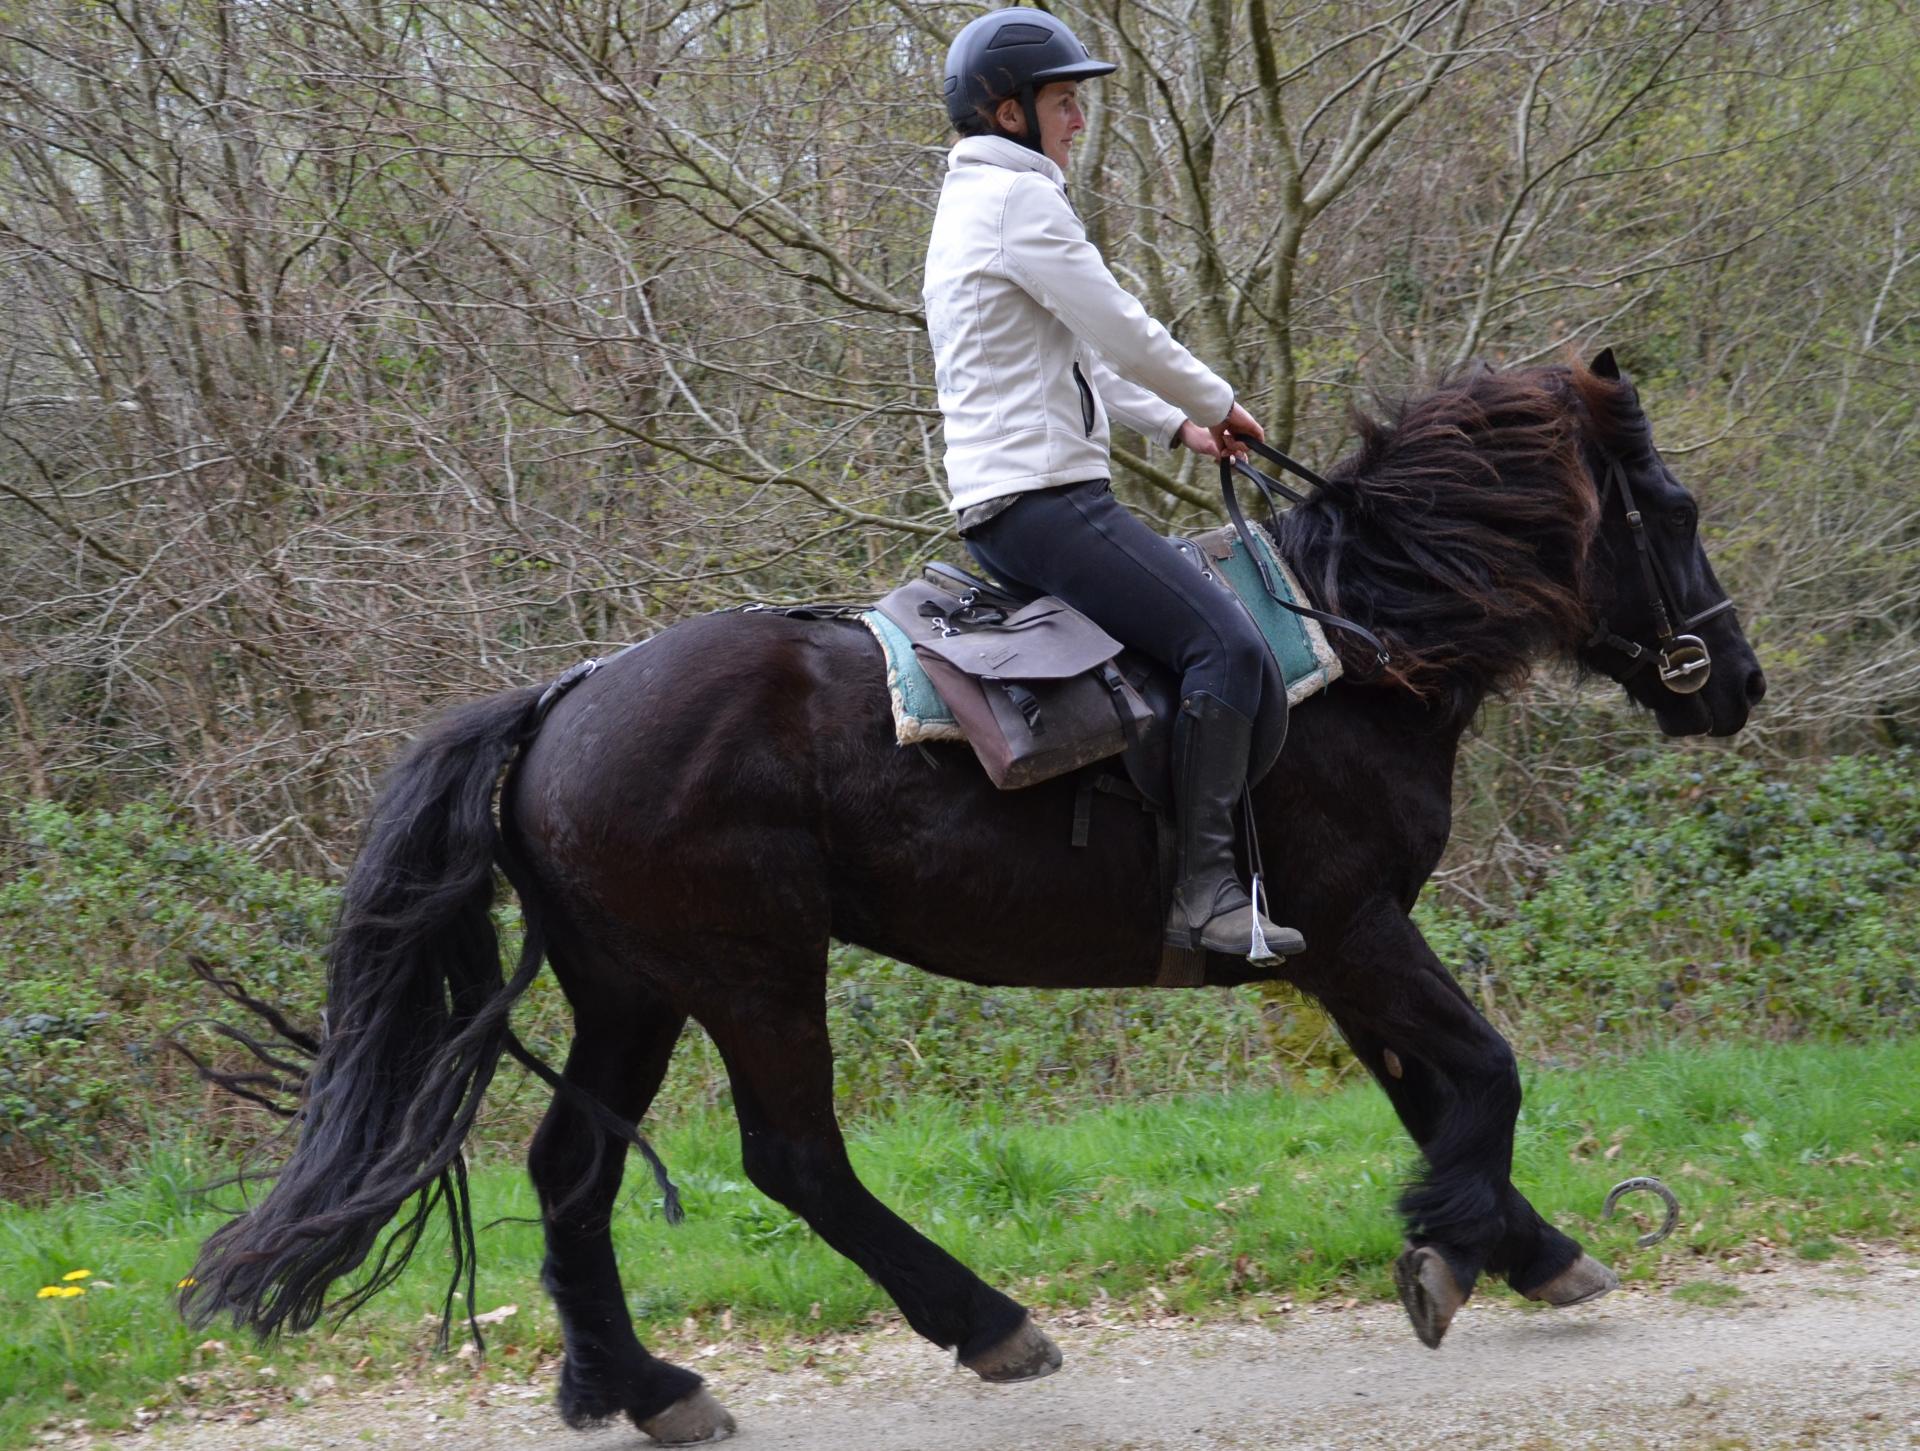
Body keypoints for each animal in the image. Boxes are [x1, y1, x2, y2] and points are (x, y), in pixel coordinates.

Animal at [187, 351, 1758, 1443]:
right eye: (1674, 508)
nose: (1733, 683)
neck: (1361, 644)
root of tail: (559, 699)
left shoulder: (1337, 955)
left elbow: (1437, 1096)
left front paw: (1515, 1245)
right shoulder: (1362, 926)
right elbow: (1483, 1071)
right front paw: (1452, 1246)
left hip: (632, 987)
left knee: (572, 1167)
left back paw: (637, 1382)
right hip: (753, 971)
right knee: (794, 1157)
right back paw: (986, 1322)